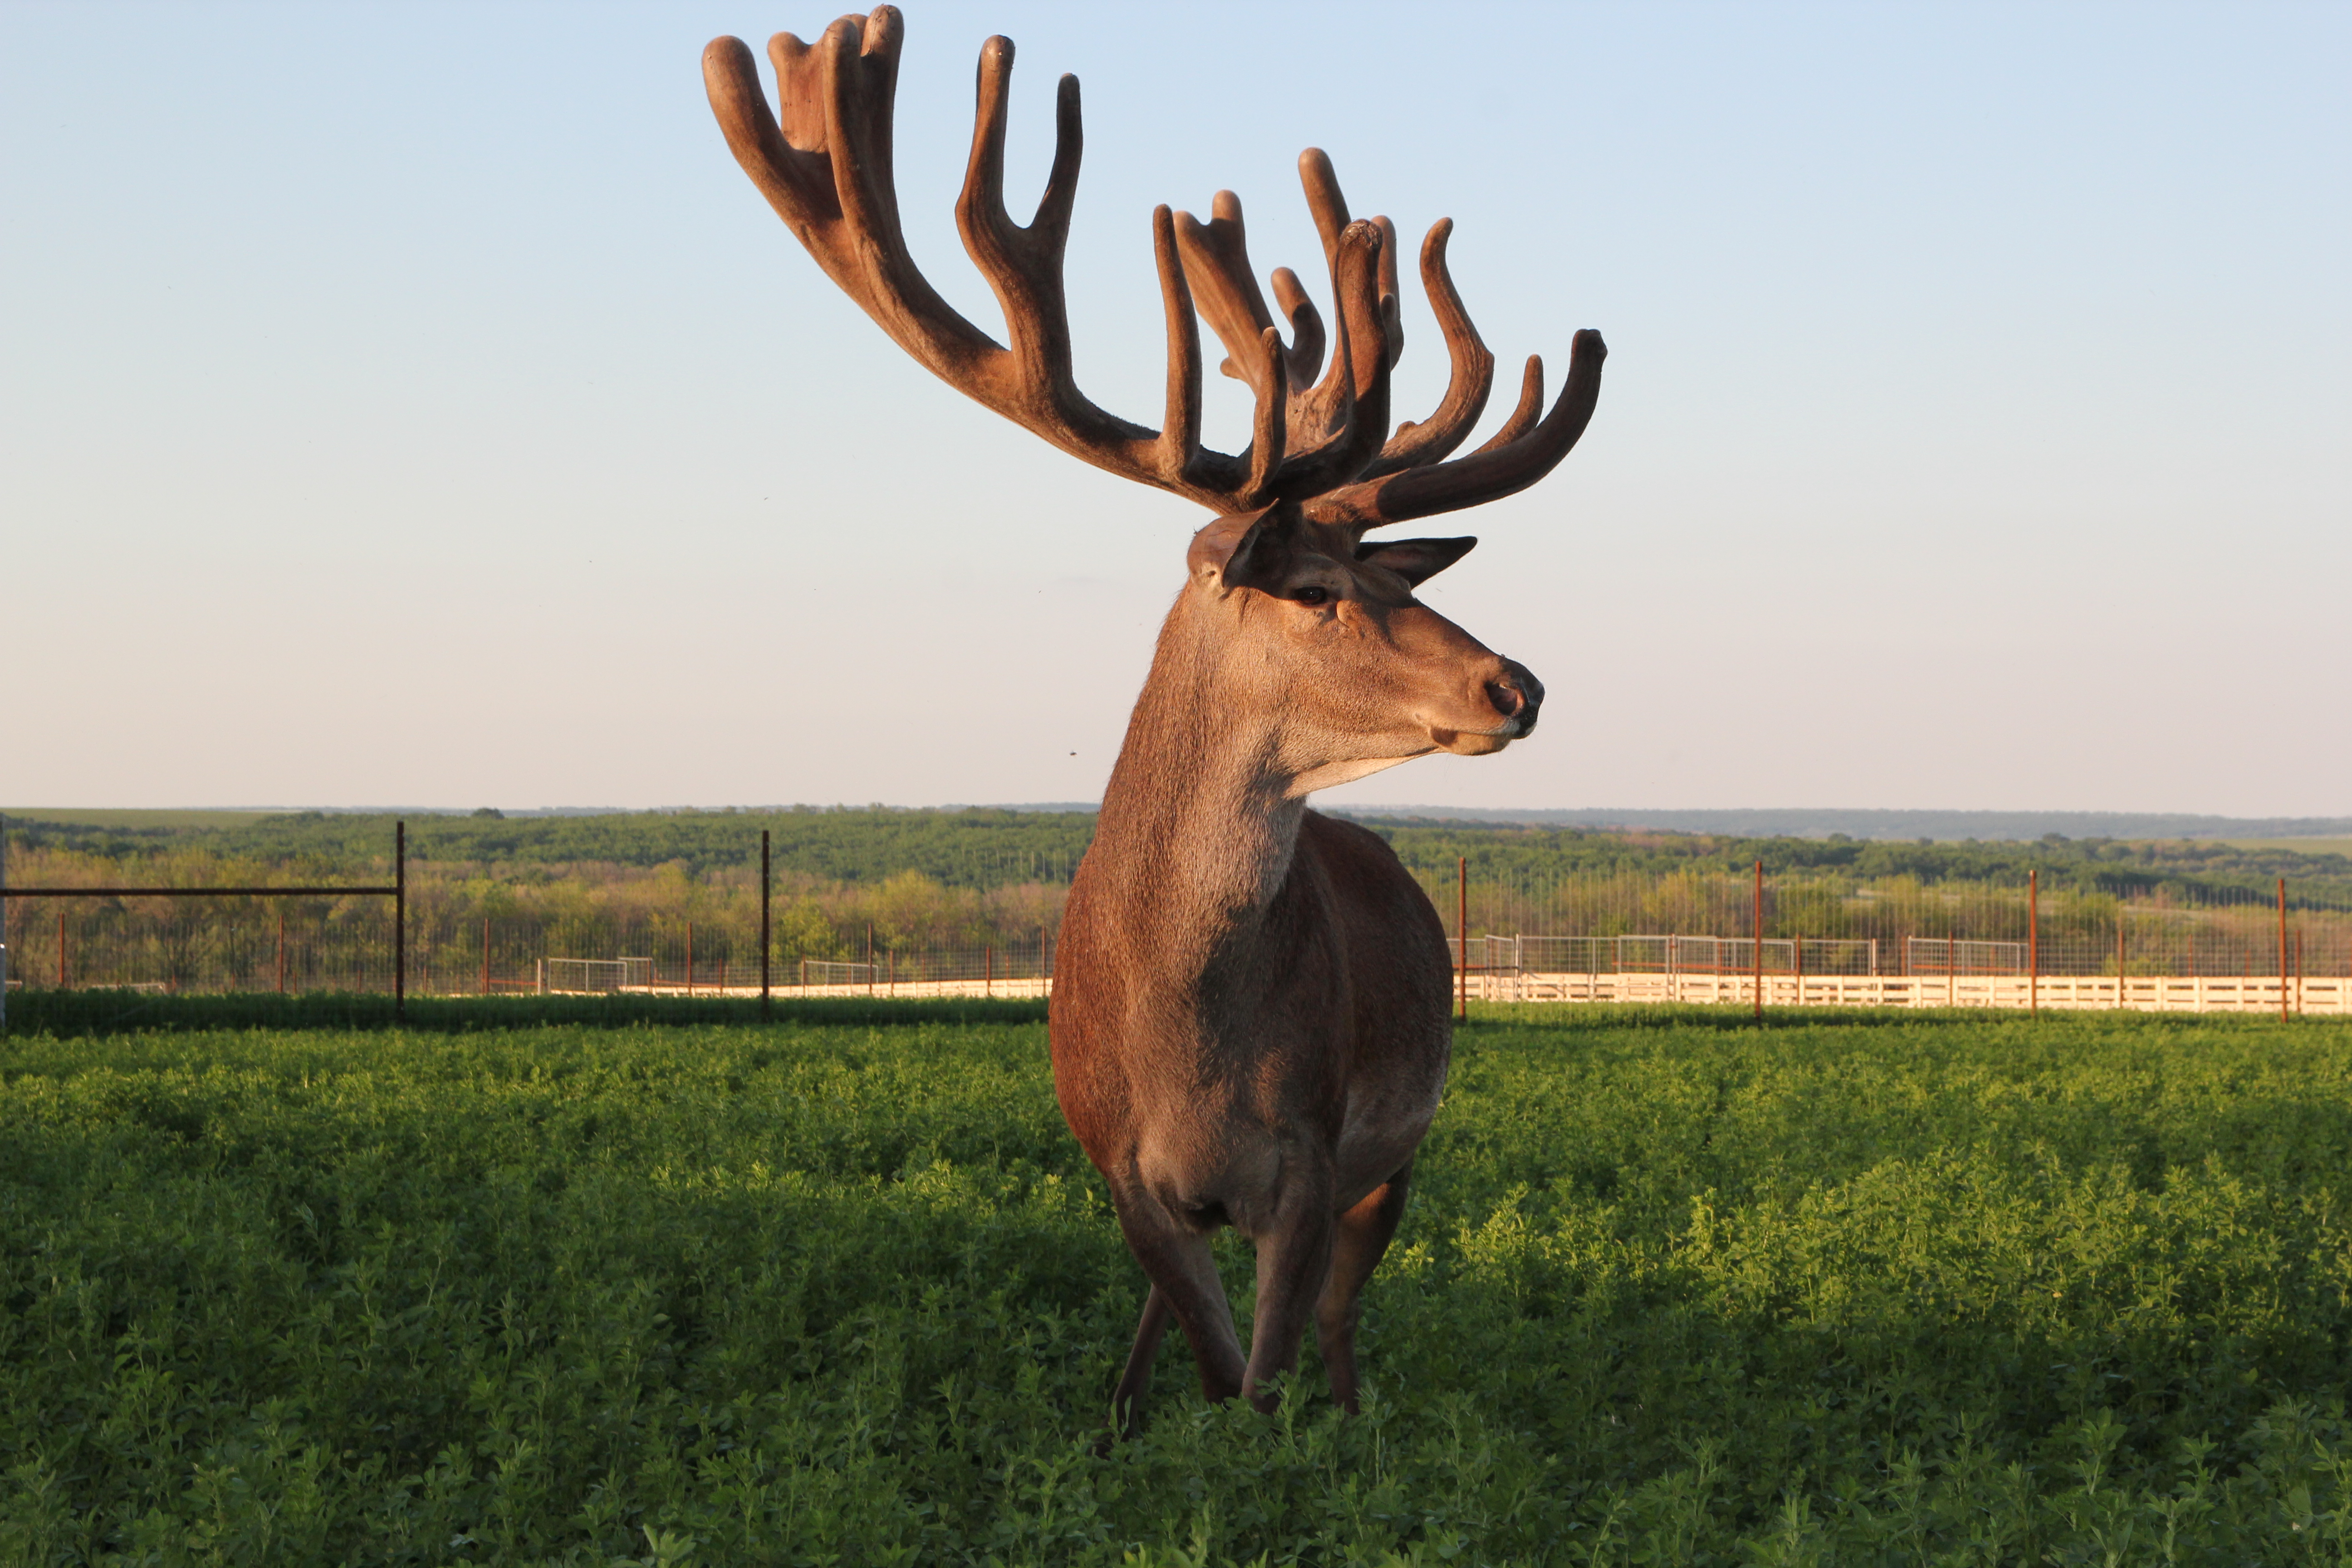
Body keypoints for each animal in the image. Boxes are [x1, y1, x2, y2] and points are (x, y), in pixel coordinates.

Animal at [704, 7, 1604, 1432]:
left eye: (1395, 577)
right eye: (1314, 589)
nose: (1514, 683)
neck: (1188, 1040)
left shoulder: (1315, 1156)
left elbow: (1265, 1382)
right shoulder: (1123, 1171)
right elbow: (1214, 1364)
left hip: (1403, 1143)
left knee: (1346, 1323)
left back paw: (1350, 1420)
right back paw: (1124, 1411)